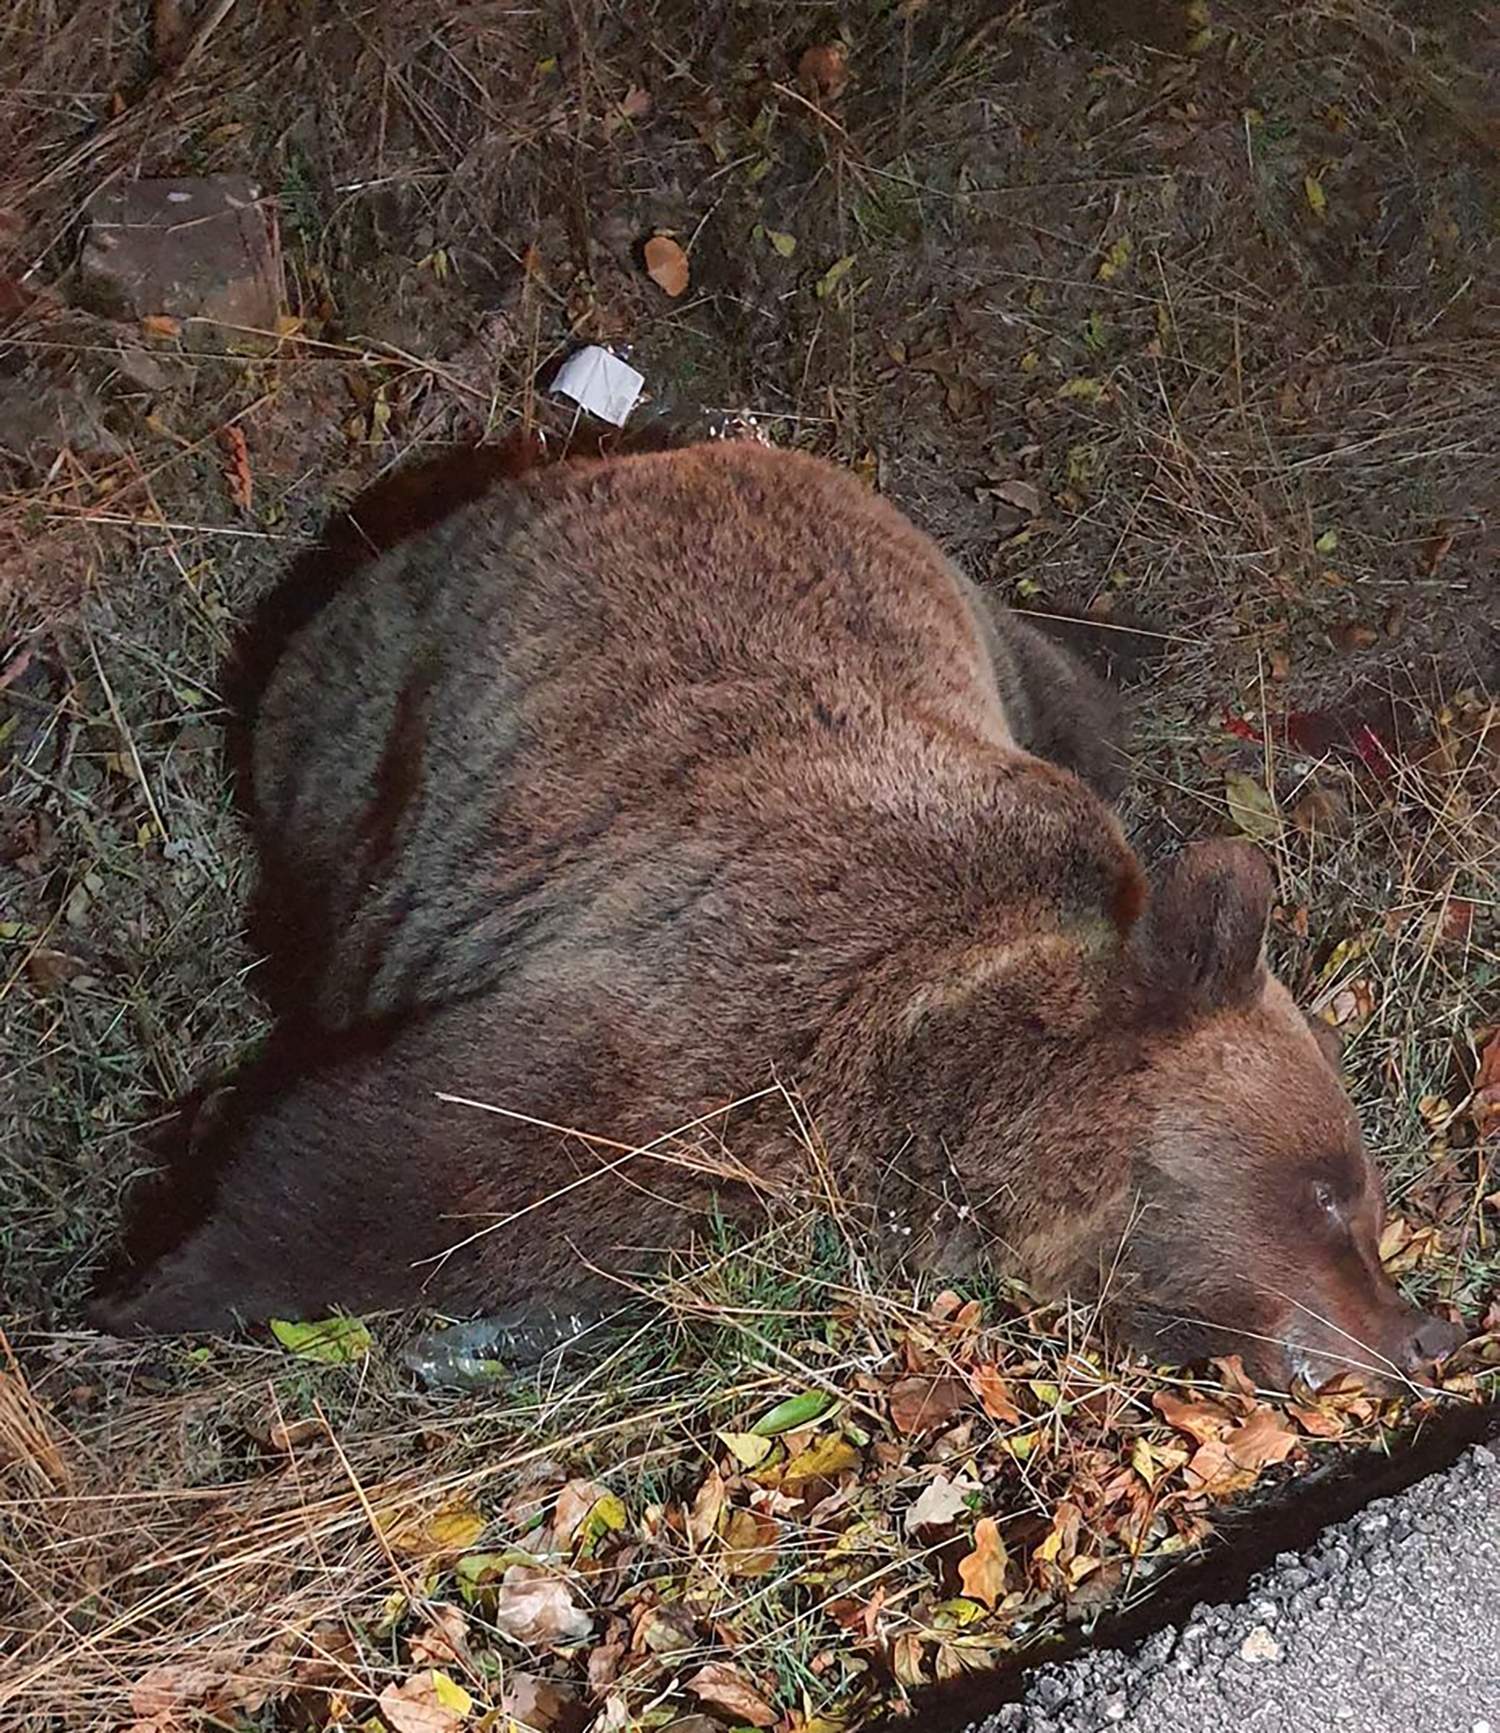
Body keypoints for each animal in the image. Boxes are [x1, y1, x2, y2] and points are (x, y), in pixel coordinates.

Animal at [90, 439, 1461, 1391]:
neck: (932, 1070)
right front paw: (146, 1283)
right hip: (352, 720)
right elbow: (404, 1164)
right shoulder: (724, 1000)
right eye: (1329, 1193)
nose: (1425, 1330)